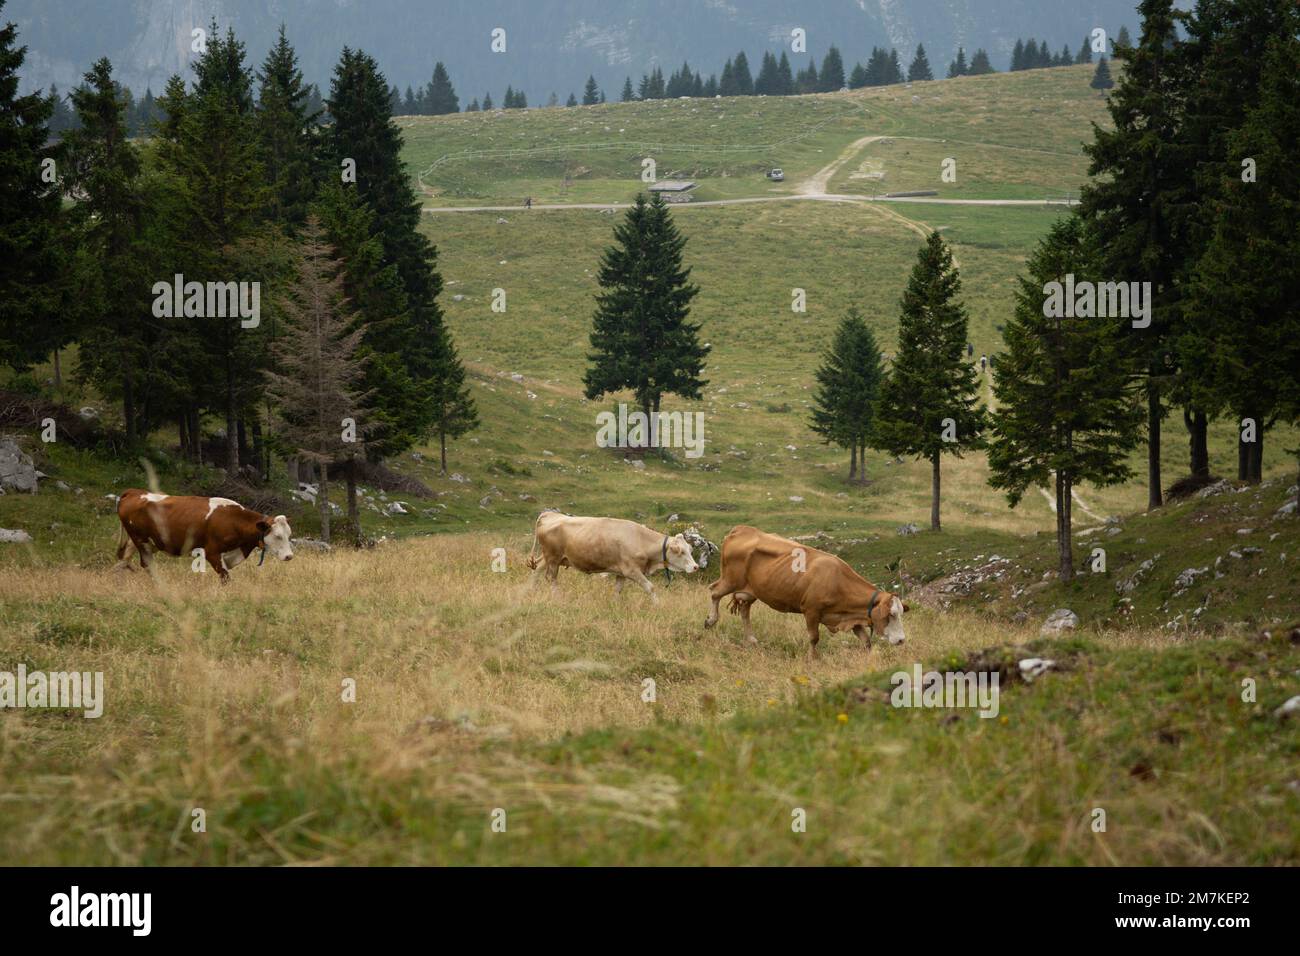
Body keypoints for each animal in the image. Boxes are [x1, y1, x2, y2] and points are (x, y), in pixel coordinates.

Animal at [115, 489, 294, 582]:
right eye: (278, 536)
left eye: (289, 535)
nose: (289, 556)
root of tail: (134, 492)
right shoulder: (212, 552)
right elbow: (225, 577)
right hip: (141, 541)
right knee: (146, 564)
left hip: (138, 542)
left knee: (124, 560)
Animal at [526, 511, 699, 601]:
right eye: (681, 551)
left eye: (690, 550)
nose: (696, 566)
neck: (641, 539)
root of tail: (551, 514)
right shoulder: (631, 571)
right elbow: (650, 587)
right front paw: (658, 605)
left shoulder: (621, 573)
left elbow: (618, 590)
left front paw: (614, 604)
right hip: (553, 558)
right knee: (551, 578)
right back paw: (557, 598)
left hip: (549, 558)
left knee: (537, 571)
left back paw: (529, 592)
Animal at [703, 525, 907, 656]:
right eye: (891, 614)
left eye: (900, 613)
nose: (901, 640)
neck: (837, 580)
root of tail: (741, 529)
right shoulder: (811, 610)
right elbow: (814, 638)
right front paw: (812, 658)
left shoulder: (849, 616)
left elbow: (866, 640)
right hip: (730, 580)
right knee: (714, 591)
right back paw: (711, 620)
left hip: (751, 590)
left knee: (745, 610)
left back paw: (751, 639)